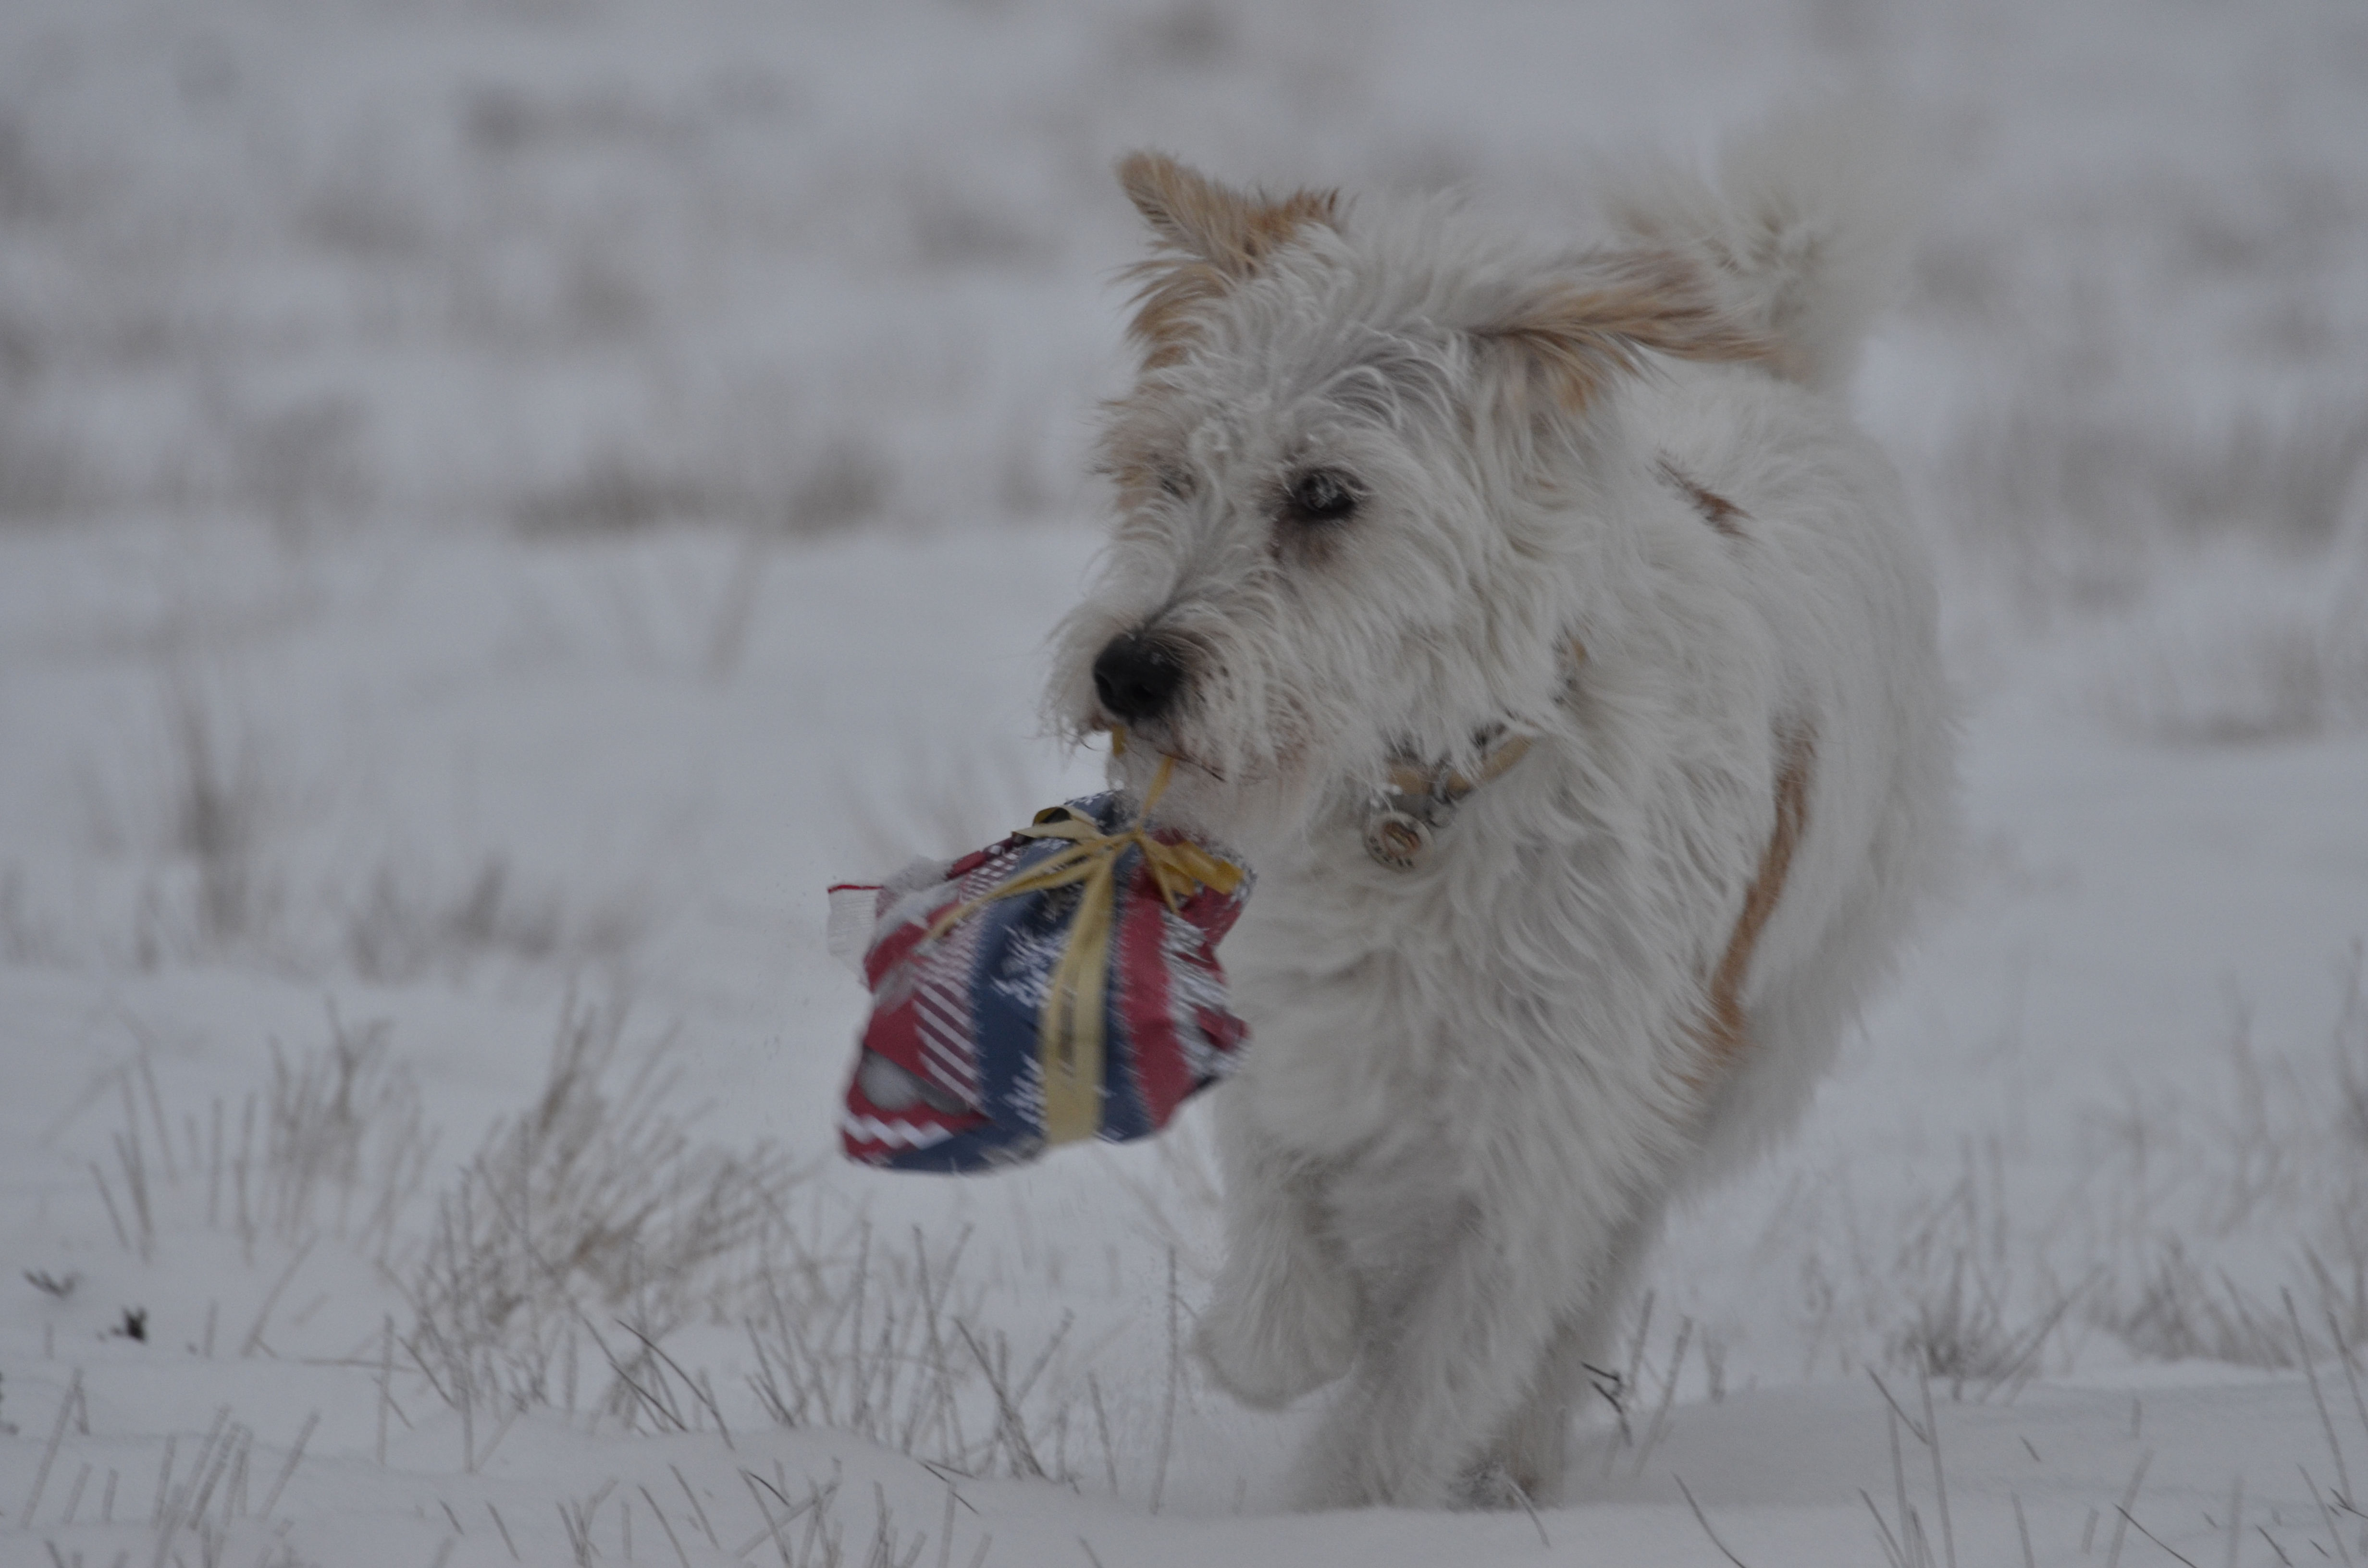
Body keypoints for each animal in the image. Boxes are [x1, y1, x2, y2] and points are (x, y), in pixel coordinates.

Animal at [1056, 108, 1961, 1516]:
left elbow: (1424, 1386)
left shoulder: (1554, 1135)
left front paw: (1350, 1515)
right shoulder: (1296, 1024)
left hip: (1729, 1059)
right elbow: (1282, 1250)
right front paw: (1286, 1332)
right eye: (1170, 472)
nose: (1130, 671)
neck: (1422, 800)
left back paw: (1522, 1459)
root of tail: (1785, 381)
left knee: (1593, 1278)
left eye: (1326, 493)